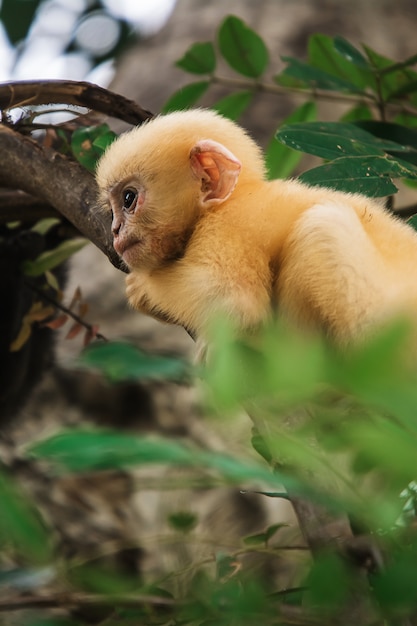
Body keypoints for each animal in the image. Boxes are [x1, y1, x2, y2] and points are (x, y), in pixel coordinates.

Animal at [96, 109, 416, 348]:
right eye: (112, 210)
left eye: (128, 199)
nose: (115, 229)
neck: (229, 201)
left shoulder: (227, 228)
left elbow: (238, 303)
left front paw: (144, 288)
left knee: (320, 227)